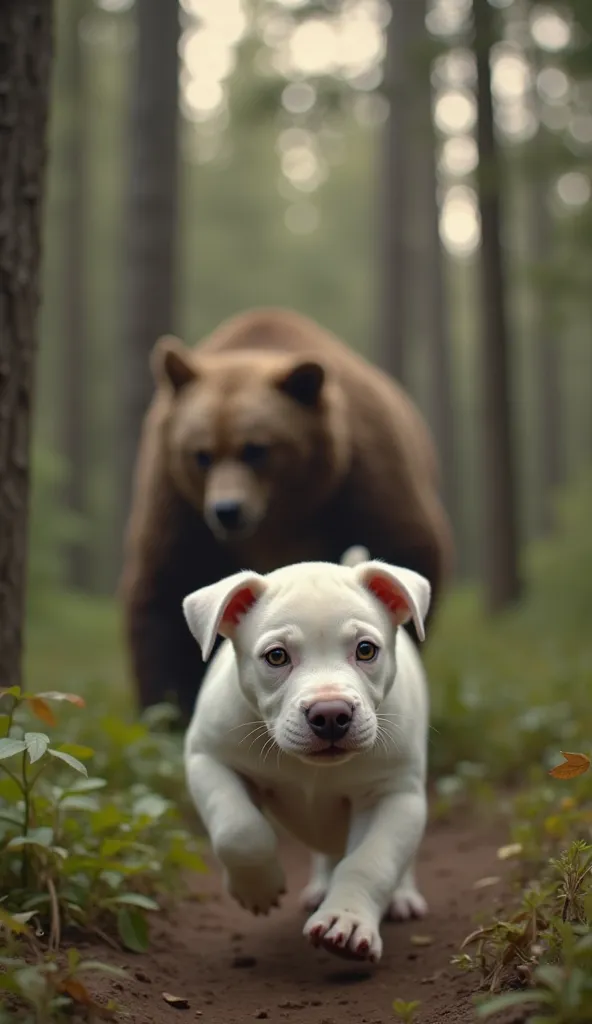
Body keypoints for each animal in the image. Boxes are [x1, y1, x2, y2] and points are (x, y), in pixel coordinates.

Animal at [119, 307, 450, 724]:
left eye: (256, 448)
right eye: (201, 454)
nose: (227, 511)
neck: (279, 517)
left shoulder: (363, 480)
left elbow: (406, 550)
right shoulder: (177, 505)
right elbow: (164, 591)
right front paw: (168, 709)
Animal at [180, 548, 428, 962]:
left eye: (366, 650)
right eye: (277, 657)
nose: (330, 714)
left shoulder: (392, 794)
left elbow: (371, 861)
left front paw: (346, 920)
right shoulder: (209, 758)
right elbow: (239, 829)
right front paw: (258, 887)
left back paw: (402, 897)